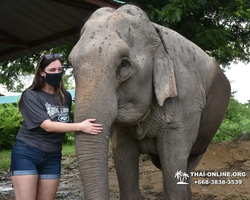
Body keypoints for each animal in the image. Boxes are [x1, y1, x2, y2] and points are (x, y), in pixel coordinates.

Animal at [68, 3, 230, 200]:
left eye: (123, 64)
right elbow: (123, 154)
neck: (155, 31)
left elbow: (174, 158)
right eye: (71, 64)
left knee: (190, 161)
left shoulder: (186, 101)